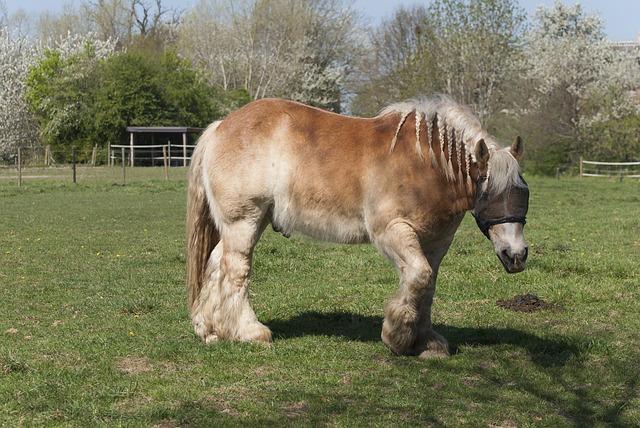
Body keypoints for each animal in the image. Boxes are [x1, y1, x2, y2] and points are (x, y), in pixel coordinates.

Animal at [186, 94, 528, 358]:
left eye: (523, 193)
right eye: (489, 195)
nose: (516, 255)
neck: (427, 165)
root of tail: (220, 127)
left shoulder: (435, 242)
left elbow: (426, 286)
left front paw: (425, 341)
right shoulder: (390, 232)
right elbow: (418, 278)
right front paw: (397, 338)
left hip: (245, 224)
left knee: (215, 264)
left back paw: (209, 330)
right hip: (244, 221)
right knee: (236, 270)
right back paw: (249, 331)